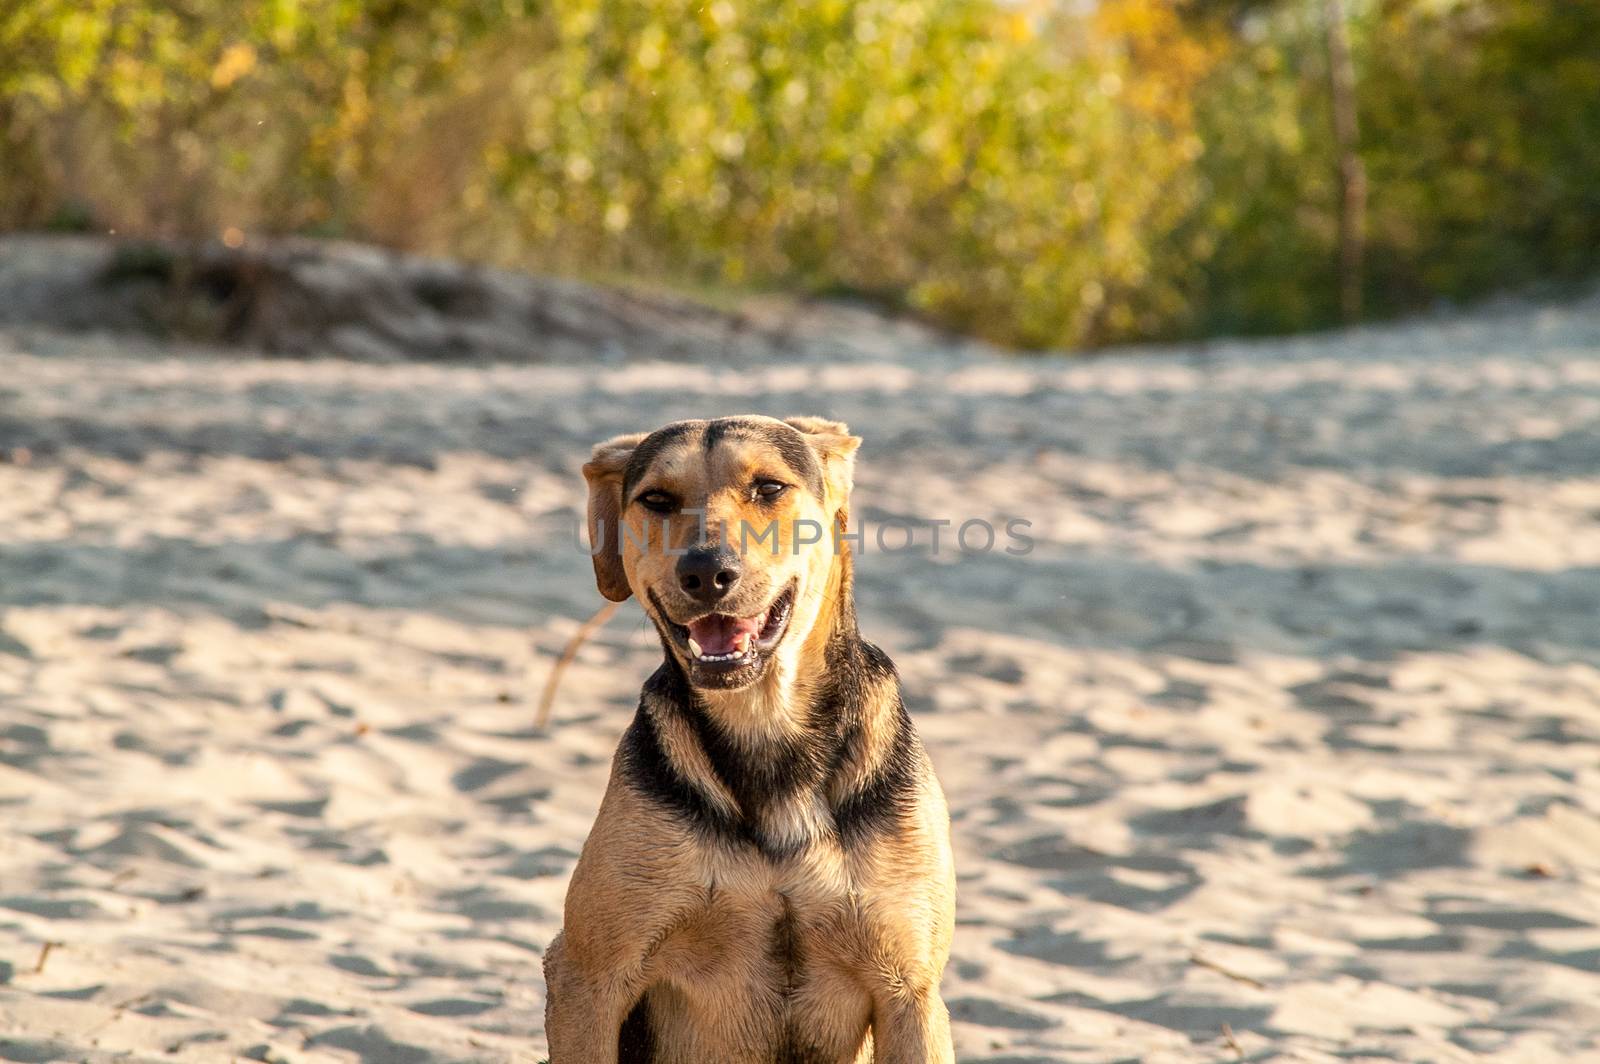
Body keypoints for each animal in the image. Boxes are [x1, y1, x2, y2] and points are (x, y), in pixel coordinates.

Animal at [544, 416, 953, 1062]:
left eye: (768, 488)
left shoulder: (911, 992)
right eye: (656, 500)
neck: (766, 726)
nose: (705, 573)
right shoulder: (587, 976)